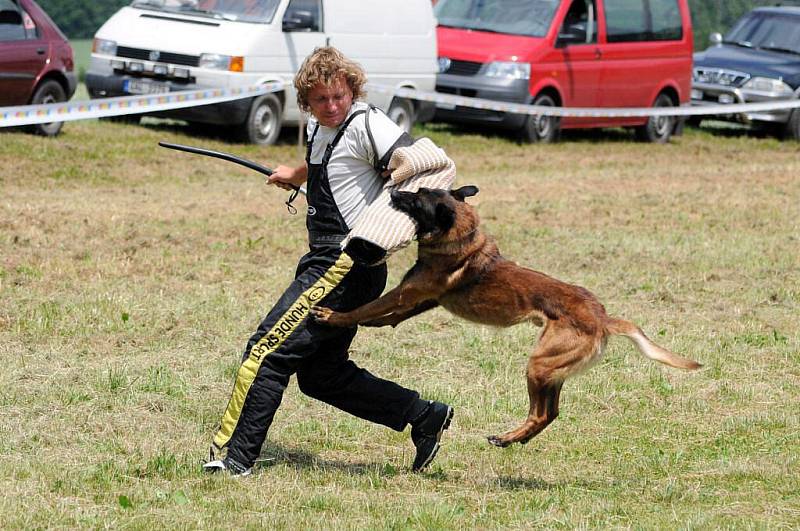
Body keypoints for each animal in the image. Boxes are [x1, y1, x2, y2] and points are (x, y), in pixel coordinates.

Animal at [312, 187, 700, 448]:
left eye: (416, 200)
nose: (393, 189)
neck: (458, 236)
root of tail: (603, 318)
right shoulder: (427, 299)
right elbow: (387, 316)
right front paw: (368, 324)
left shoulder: (407, 292)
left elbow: (368, 307)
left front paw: (332, 316)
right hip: (551, 369)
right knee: (552, 413)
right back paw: (515, 438)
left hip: (539, 363)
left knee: (542, 412)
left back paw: (507, 437)